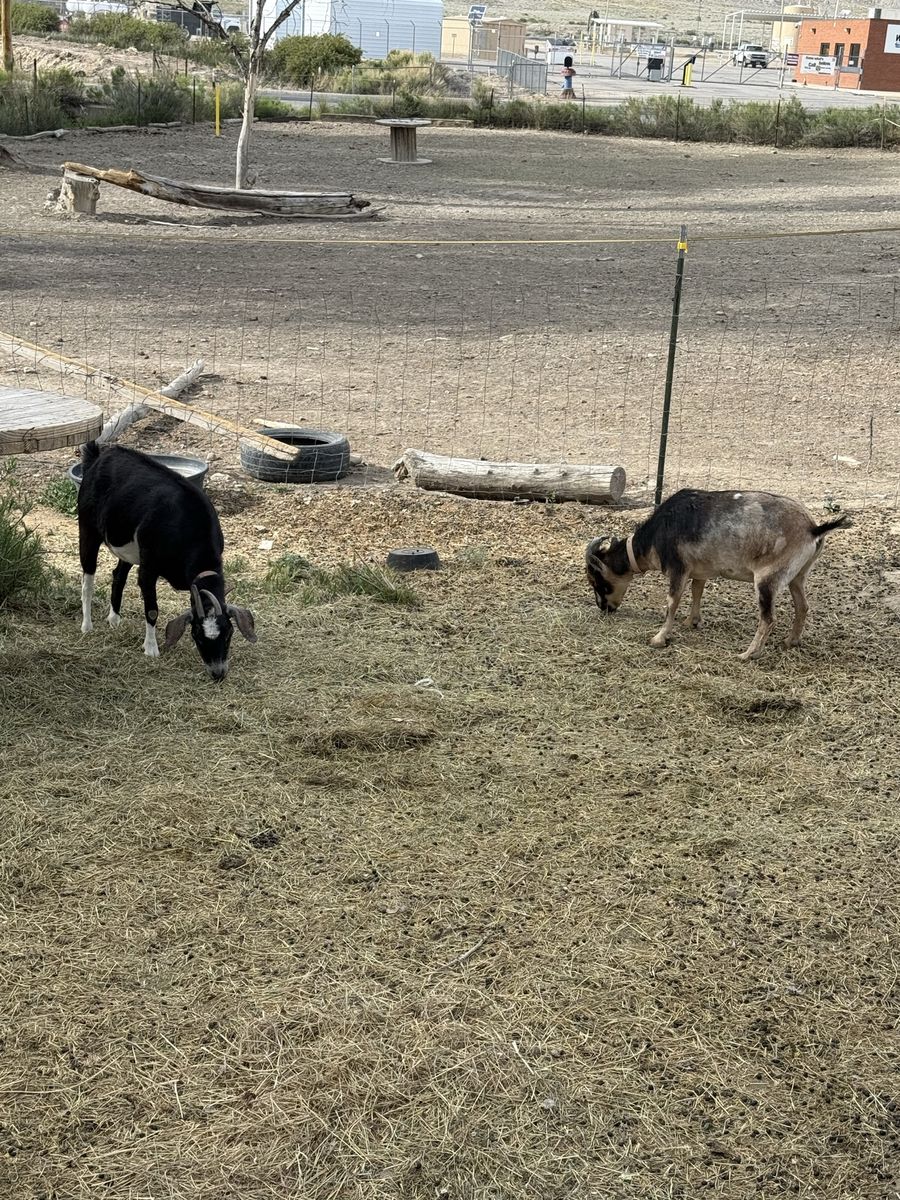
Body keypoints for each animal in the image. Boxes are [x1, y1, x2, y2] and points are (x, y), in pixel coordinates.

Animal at [77, 441, 257, 680]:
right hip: (88, 529)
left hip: (130, 548)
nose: (218, 673)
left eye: (229, 633)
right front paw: (151, 648)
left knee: (119, 575)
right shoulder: (149, 568)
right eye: (197, 635)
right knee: (88, 579)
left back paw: (114, 619)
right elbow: (152, 609)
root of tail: (98, 456)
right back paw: (87, 626)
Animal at [585, 488, 848, 660]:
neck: (659, 531)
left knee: (768, 618)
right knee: (802, 606)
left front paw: (659, 639)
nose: (604, 608)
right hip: (797, 576)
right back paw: (790, 642)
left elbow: (672, 602)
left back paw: (747, 654)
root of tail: (813, 528)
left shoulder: (678, 568)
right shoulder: (699, 571)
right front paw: (691, 621)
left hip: (767, 579)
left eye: (597, 580)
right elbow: (697, 592)